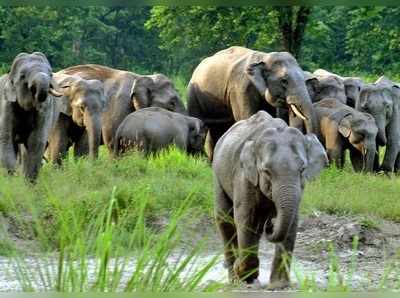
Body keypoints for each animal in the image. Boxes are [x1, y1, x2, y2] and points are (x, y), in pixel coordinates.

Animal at [0, 52, 62, 180]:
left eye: (51, 74)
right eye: (22, 76)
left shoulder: (45, 109)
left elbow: (36, 141)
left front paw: (28, 181)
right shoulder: (6, 105)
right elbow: (6, 140)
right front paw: (12, 179)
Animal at [212, 110, 328, 288]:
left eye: (302, 169)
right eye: (266, 171)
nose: (271, 224)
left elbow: (292, 222)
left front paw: (279, 285)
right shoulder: (243, 176)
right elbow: (245, 219)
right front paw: (244, 274)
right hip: (218, 175)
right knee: (225, 219)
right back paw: (235, 279)